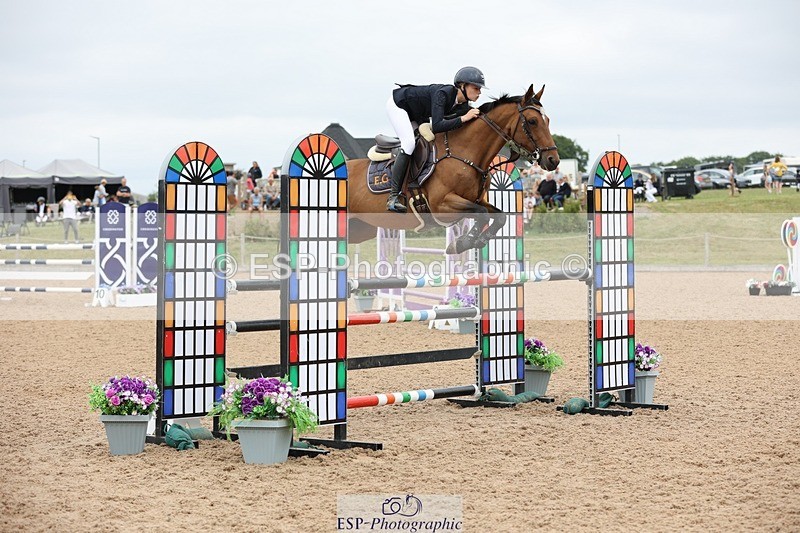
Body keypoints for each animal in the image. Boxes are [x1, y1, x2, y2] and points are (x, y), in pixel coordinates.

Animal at [346, 84, 560, 254]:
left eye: (548, 120)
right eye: (532, 121)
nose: (553, 160)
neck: (464, 153)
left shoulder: (476, 199)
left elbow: (499, 216)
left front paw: (477, 241)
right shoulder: (442, 205)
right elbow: (482, 213)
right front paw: (462, 243)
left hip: (359, 229)